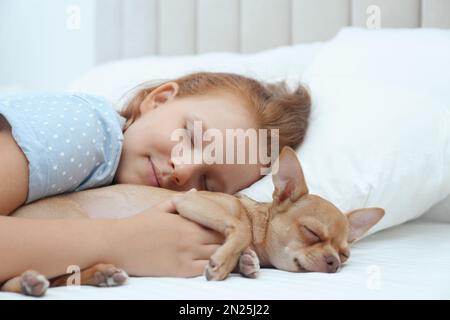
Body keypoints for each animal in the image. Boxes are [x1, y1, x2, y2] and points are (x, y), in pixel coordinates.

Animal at [1, 148, 384, 298]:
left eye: (345, 254)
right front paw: (226, 260)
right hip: (70, 226)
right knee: (15, 280)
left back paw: (102, 275)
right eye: (311, 232)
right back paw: (31, 282)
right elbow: (239, 228)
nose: (334, 263)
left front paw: (245, 262)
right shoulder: (190, 199)